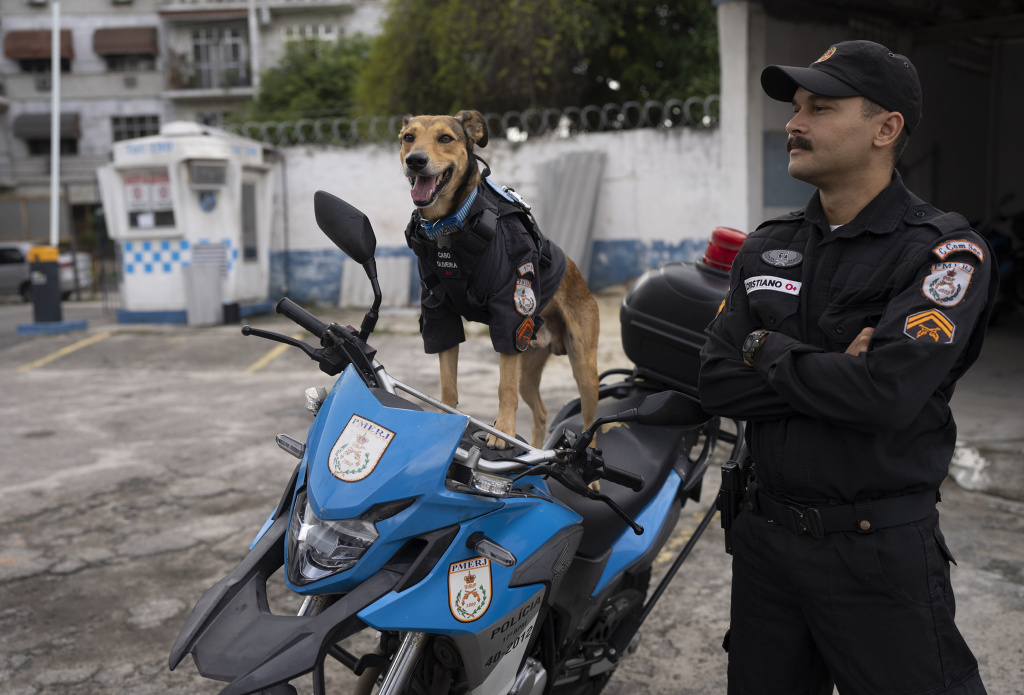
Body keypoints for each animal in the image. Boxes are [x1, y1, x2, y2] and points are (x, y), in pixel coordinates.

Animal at [397, 110, 598, 450]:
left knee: (590, 428)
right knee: (541, 411)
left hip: (584, 369)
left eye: (445, 138)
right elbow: (448, 385)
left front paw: (502, 432)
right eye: (408, 137)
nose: (416, 161)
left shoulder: (512, 313)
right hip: (528, 369)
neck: (451, 224)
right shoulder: (439, 314)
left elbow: (504, 388)